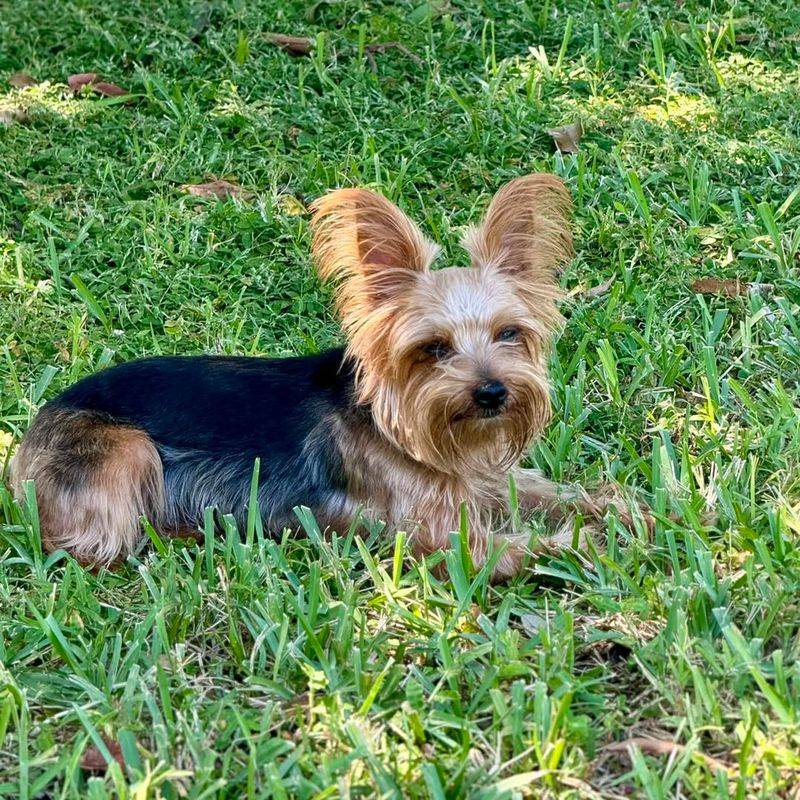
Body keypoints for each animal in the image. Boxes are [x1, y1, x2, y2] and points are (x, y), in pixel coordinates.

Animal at [10, 173, 636, 576]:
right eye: (432, 348)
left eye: (509, 333)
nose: (492, 392)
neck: (403, 427)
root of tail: (29, 436)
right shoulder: (442, 538)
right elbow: (529, 548)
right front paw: (603, 541)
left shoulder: (482, 477)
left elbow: (550, 491)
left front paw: (628, 508)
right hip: (126, 450)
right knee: (89, 546)